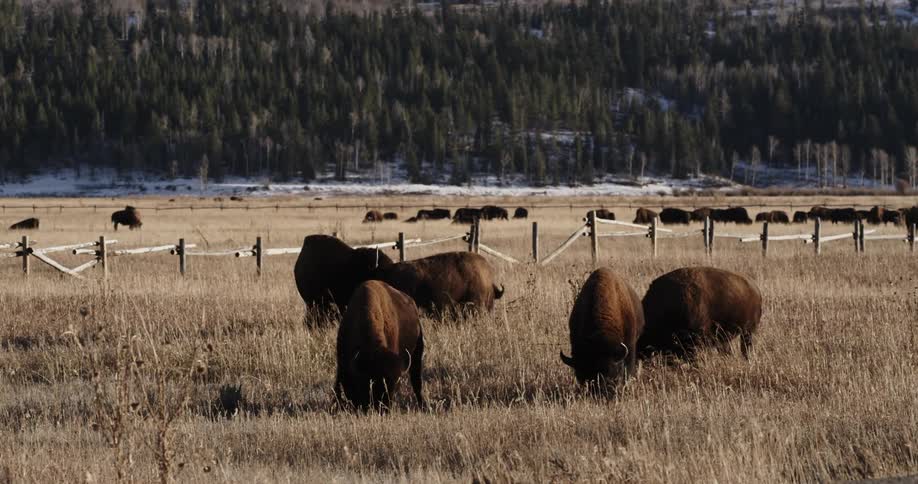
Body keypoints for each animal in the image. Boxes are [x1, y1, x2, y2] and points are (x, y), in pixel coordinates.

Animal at [335, 280, 424, 411]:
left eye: (395, 384)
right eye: (373, 380)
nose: (385, 407)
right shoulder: (342, 363)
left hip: (417, 355)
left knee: (417, 382)